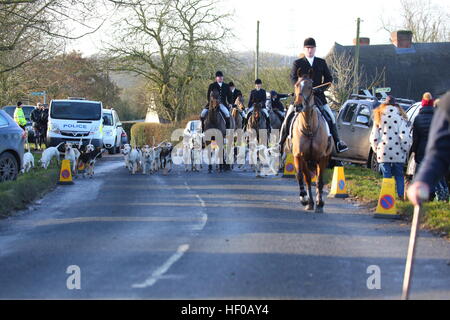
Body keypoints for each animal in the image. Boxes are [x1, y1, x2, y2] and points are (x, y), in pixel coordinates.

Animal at [292, 70, 334, 212]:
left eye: (311, 87)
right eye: (296, 85)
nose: (298, 106)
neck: (309, 127)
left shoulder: (321, 157)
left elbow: (320, 180)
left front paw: (320, 203)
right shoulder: (299, 156)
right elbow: (302, 177)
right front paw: (304, 199)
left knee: (317, 179)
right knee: (308, 179)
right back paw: (310, 202)